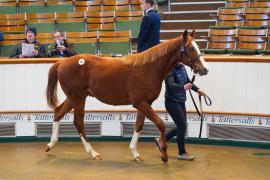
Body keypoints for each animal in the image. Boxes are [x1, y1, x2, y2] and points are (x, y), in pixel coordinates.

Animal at [45, 29, 209, 162]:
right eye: (190, 48)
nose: (205, 69)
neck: (148, 69)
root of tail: (61, 63)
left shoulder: (145, 103)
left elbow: (139, 126)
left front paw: (135, 153)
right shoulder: (140, 103)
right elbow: (160, 124)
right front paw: (164, 154)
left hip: (74, 98)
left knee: (58, 112)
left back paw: (50, 144)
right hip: (78, 98)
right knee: (78, 122)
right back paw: (93, 153)